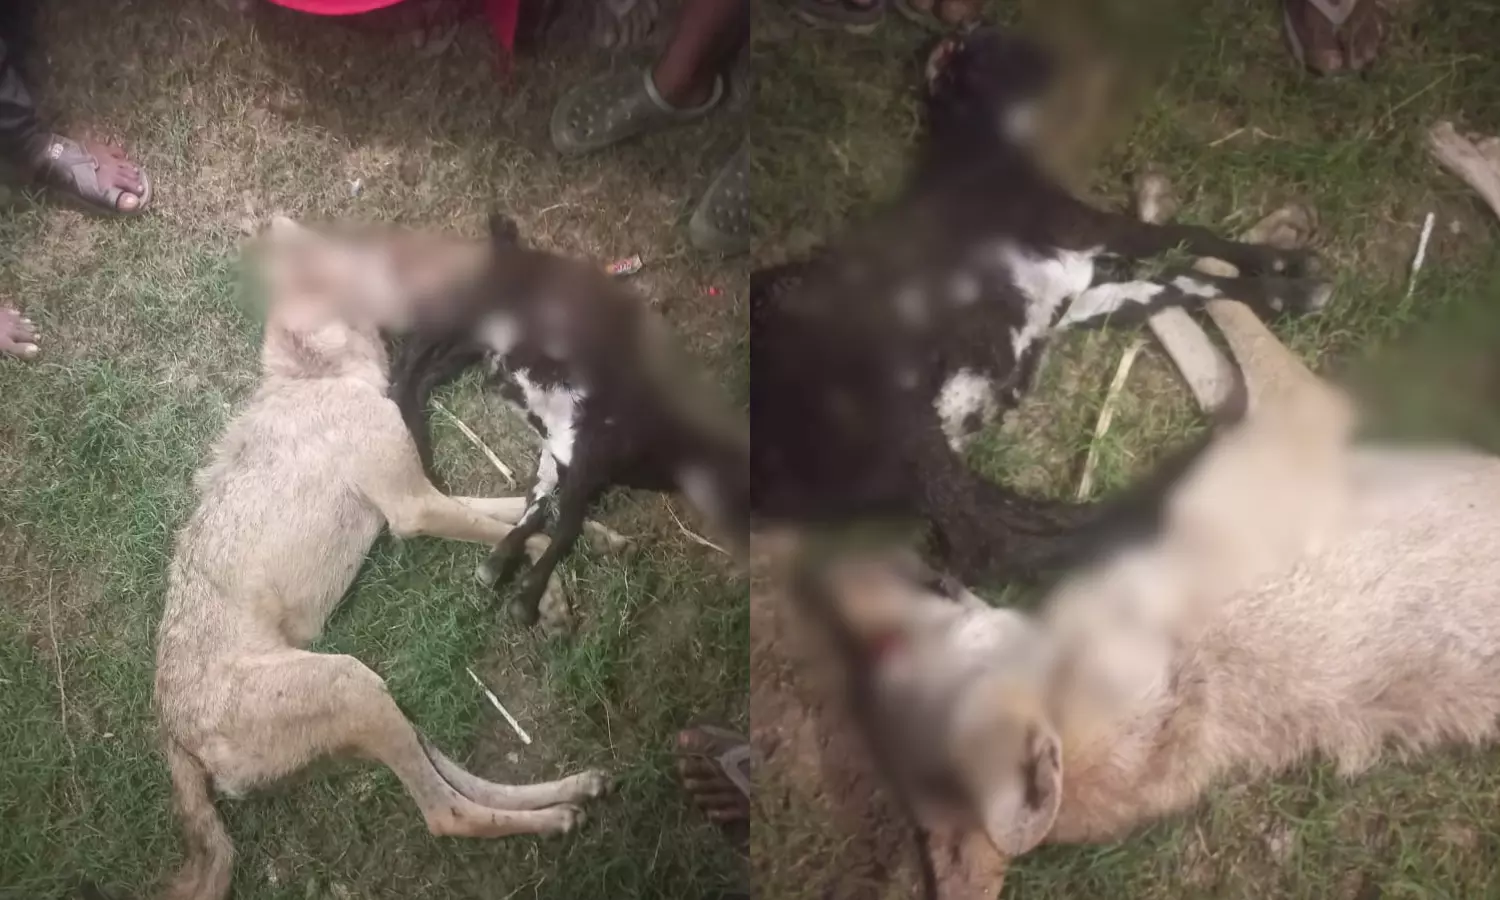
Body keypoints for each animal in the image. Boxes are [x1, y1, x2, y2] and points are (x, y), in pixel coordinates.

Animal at [391, 217, 749, 630]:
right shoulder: (587, 453)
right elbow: (565, 526)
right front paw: (523, 597)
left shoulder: (561, 452)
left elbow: (539, 503)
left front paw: (500, 564)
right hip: (464, 320)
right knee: (413, 355)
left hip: (469, 342)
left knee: (425, 371)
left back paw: (411, 423)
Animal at [750, 26, 1333, 584]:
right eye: (988, 46)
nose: (1057, 55)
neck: (984, 155)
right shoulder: (1090, 228)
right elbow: (1186, 238)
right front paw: (1290, 271)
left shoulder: (1080, 297)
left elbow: (1177, 282)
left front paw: (1283, 287)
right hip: (899, 408)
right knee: (990, 542)